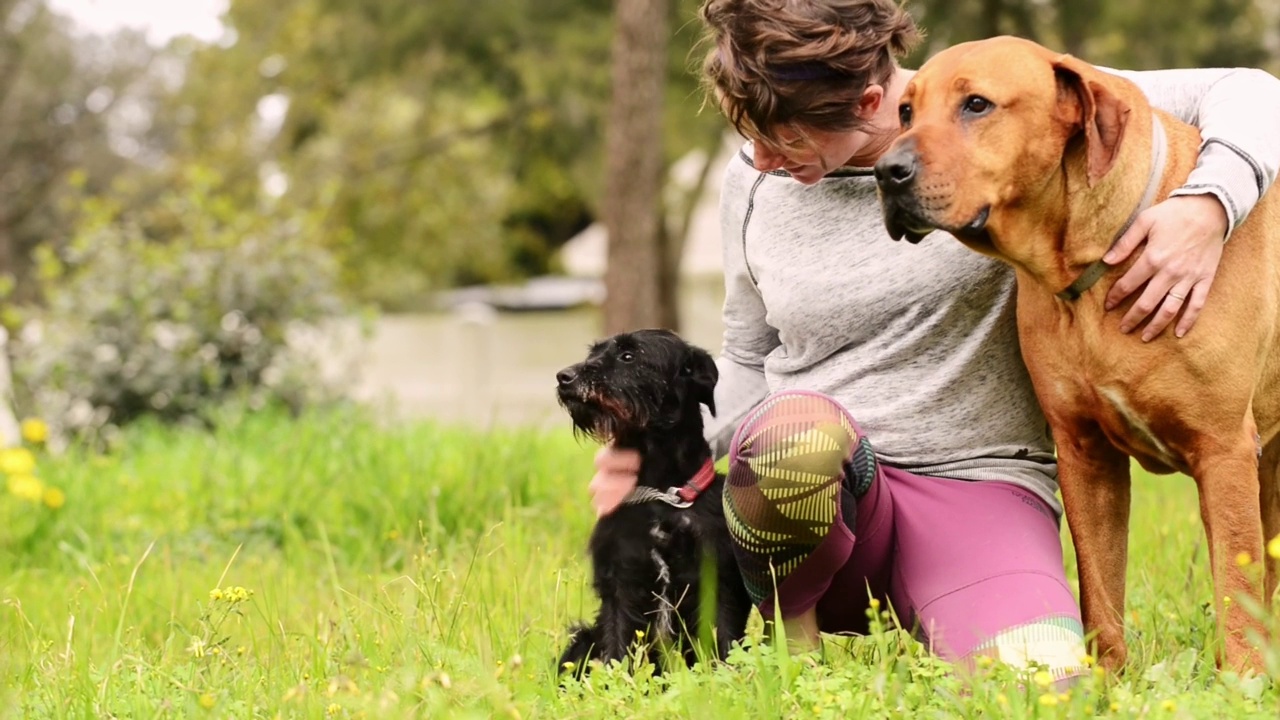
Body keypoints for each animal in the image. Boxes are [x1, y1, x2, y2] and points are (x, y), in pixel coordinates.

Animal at [555, 326, 752, 671]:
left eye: (628, 355)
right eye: (594, 353)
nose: (564, 377)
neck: (662, 495)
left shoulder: (719, 579)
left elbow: (725, 640)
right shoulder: (620, 581)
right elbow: (617, 649)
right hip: (583, 639)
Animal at [870, 35, 1280, 671]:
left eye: (976, 104)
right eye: (907, 111)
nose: (886, 172)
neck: (1095, 259)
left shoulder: (1225, 451)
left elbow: (1236, 591)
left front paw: (1242, 680)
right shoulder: (1085, 453)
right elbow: (1099, 586)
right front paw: (1109, 679)